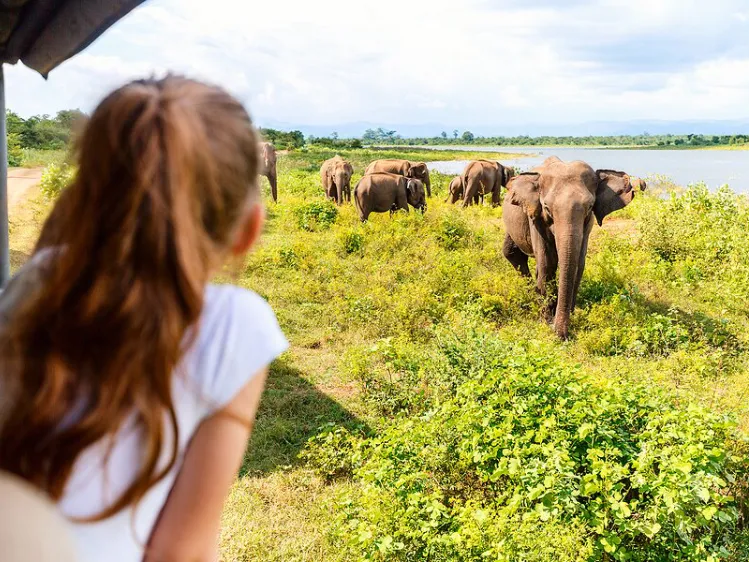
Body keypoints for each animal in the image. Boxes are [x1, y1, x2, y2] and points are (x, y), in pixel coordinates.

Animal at [502, 157, 643, 340]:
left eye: (590, 206)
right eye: (546, 207)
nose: (562, 336)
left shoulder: (588, 224)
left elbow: (578, 264)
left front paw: (569, 315)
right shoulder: (535, 217)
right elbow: (547, 263)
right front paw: (546, 320)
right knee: (513, 253)